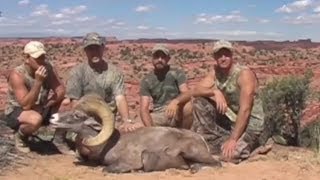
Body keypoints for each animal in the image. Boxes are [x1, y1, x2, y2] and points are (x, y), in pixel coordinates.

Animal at [50, 93, 220, 172]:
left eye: (77, 115)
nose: (52, 117)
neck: (110, 144)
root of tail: (200, 139)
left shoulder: (129, 162)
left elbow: (106, 168)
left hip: (193, 152)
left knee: (216, 164)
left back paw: (194, 168)